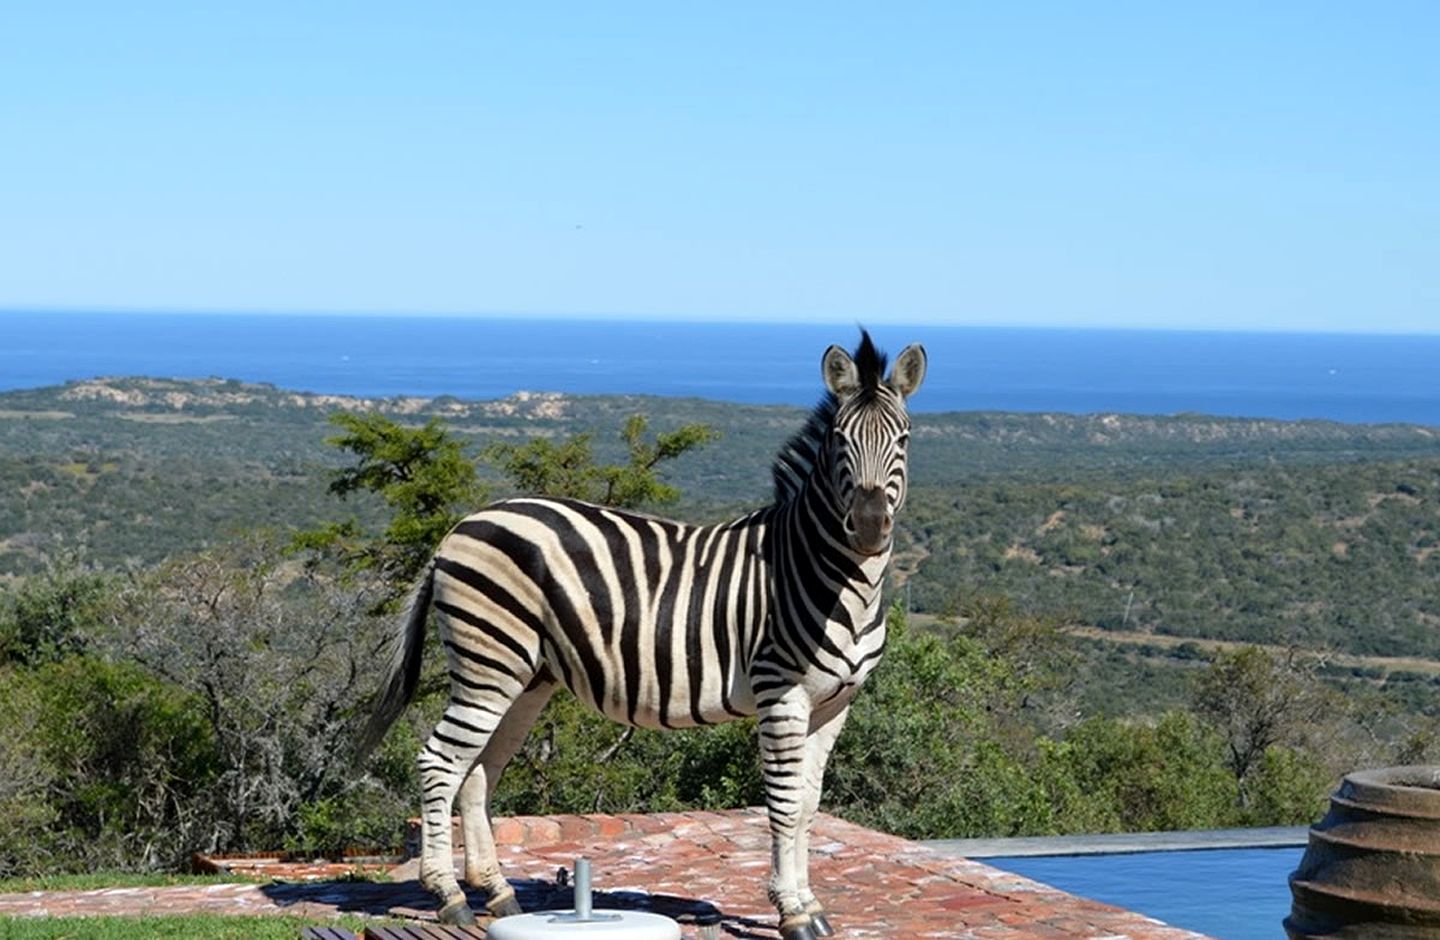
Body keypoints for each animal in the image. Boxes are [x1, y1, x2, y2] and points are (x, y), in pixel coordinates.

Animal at [358, 328, 921, 932]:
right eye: (840, 442)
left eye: (904, 438)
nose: (869, 528)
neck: (829, 576)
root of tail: (459, 528)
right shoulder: (781, 692)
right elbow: (786, 804)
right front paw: (791, 911)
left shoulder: (836, 703)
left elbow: (811, 803)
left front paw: (810, 903)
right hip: (488, 662)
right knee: (439, 762)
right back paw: (449, 896)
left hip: (525, 676)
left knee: (479, 771)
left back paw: (498, 892)